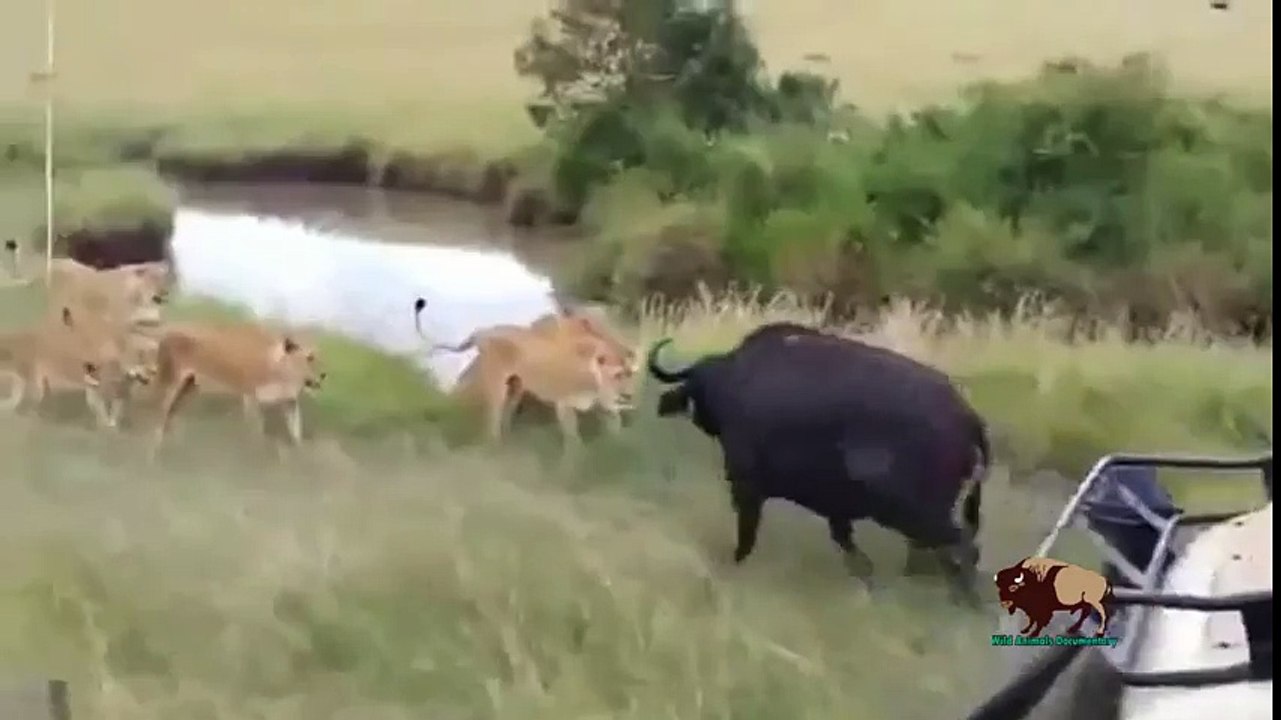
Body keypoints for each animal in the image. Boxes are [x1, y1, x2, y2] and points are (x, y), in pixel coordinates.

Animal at [146, 321, 326, 458]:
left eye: (311, 359)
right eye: (300, 361)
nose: (315, 381)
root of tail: (166, 334)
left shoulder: (290, 402)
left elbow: (296, 433)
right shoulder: (250, 396)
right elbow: (256, 433)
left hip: (190, 387)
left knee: (172, 415)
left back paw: (176, 450)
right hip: (170, 381)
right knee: (160, 412)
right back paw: (153, 456)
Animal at [411, 298, 638, 447]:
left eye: (628, 375)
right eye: (618, 375)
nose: (628, 395)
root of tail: (484, 330)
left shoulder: (605, 406)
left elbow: (615, 427)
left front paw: (618, 447)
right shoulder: (563, 404)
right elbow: (573, 438)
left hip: (517, 386)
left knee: (506, 414)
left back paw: (507, 441)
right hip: (497, 384)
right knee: (493, 416)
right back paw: (493, 446)